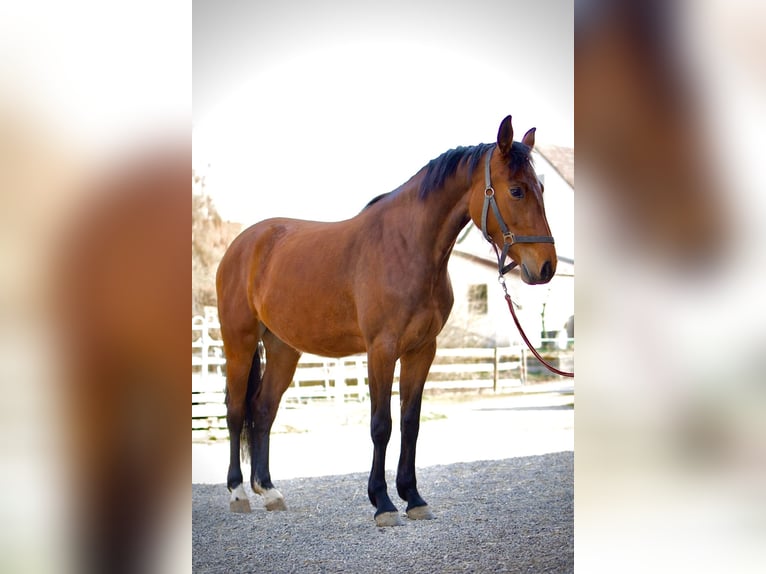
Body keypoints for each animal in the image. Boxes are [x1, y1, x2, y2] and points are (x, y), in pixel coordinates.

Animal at [216, 116, 557, 526]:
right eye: (516, 190)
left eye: (541, 187)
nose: (546, 267)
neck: (407, 247)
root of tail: (244, 243)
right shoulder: (381, 349)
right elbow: (382, 425)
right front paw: (382, 503)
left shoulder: (422, 350)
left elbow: (410, 422)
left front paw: (413, 497)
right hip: (239, 342)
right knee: (236, 411)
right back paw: (237, 492)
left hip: (283, 348)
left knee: (263, 410)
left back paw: (268, 491)